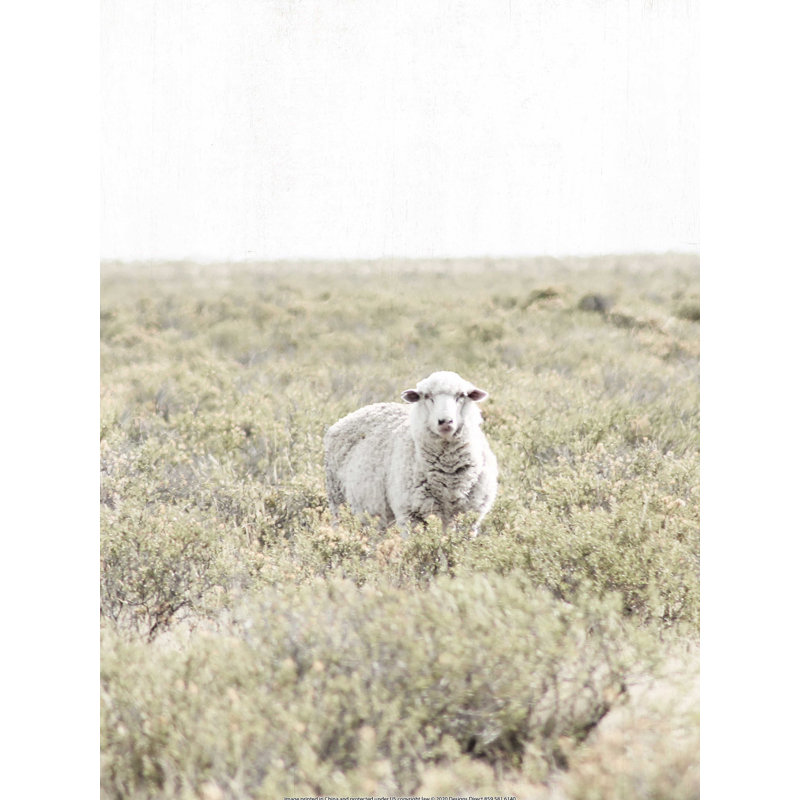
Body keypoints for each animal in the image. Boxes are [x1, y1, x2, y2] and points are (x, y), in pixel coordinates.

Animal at [324, 371, 498, 536]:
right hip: (337, 498)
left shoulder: (470, 515)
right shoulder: (410, 513)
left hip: (379, 513)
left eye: (461, 395)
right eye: (427, 396)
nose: (445, 421)